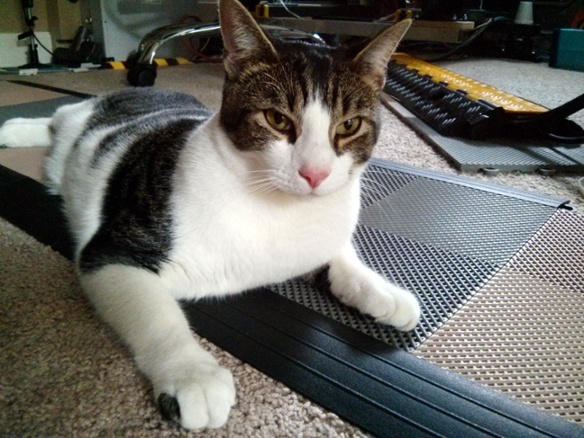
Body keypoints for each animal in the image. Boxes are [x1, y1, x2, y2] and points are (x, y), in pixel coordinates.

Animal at [0, 0, 420, 432]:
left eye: (349, 125)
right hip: (83, 119)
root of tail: (153, 90)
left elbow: (340, 255)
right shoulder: (114, 250)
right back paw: (15, 128)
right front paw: (191, 373)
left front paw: (383, 292)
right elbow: (156, 313)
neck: (276, 206)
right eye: (277, 120)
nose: (315, 173)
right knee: (61, 115)